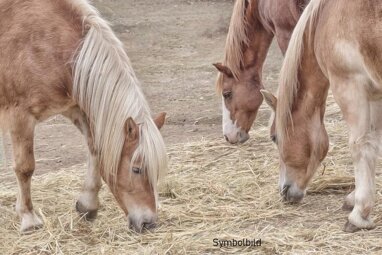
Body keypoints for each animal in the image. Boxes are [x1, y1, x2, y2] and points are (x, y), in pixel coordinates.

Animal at [0, 0, 167, 233]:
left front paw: (88, 205)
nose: (148, 223)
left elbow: (95, 149)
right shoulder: (21, 117)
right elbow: (25, 168)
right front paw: (28, 218)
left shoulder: (75, 108)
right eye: (136, 169)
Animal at [262, 0, 382, 232]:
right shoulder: (374, 94)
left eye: (274, 137)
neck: (326, 18)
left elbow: (360, 146)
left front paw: (359, 214)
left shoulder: (350, 86)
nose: (284, 191)